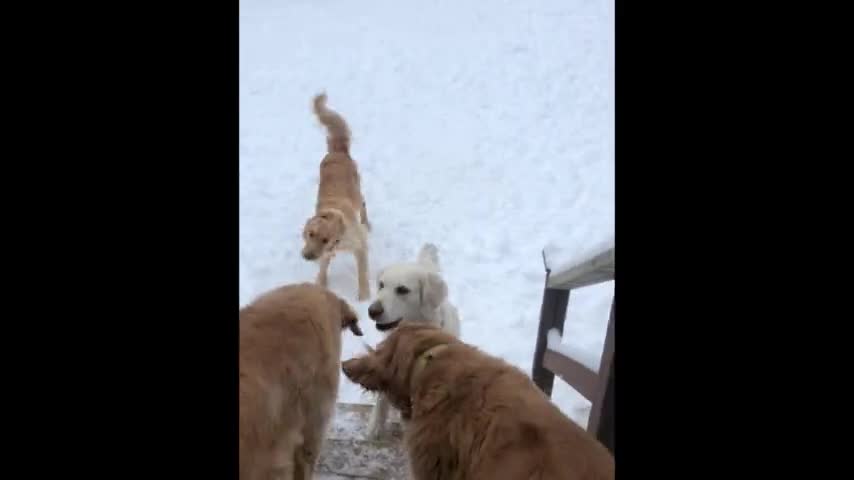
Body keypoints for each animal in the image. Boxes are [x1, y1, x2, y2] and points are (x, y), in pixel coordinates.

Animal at [300, 94, 372, 300]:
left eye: (325, 239)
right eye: (310, 234)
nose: (307, 256)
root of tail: (337, 152)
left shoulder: (360, 247)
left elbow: (362, 274)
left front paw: (364, 296)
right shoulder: (324, 254)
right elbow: (323, 267)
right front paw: (321, 283)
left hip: (357, 191)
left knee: (363, 204)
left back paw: (367, 223)